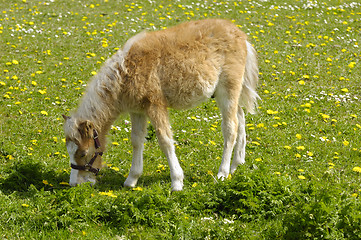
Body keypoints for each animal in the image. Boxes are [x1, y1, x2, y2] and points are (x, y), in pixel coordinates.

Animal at [62, 19, 258, 191]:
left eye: (82, 153)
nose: (74, 183)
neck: (125, 72)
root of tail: (241, 35)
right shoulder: (137, 110)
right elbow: (136, 140)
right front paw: (131, 179)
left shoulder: (155, 105)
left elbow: (164, 140)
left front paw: (177, 182)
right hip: (223, 93)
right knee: (240, 117)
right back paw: (236, 164)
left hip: (228, 89)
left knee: (230, 127)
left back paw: (223, 173)